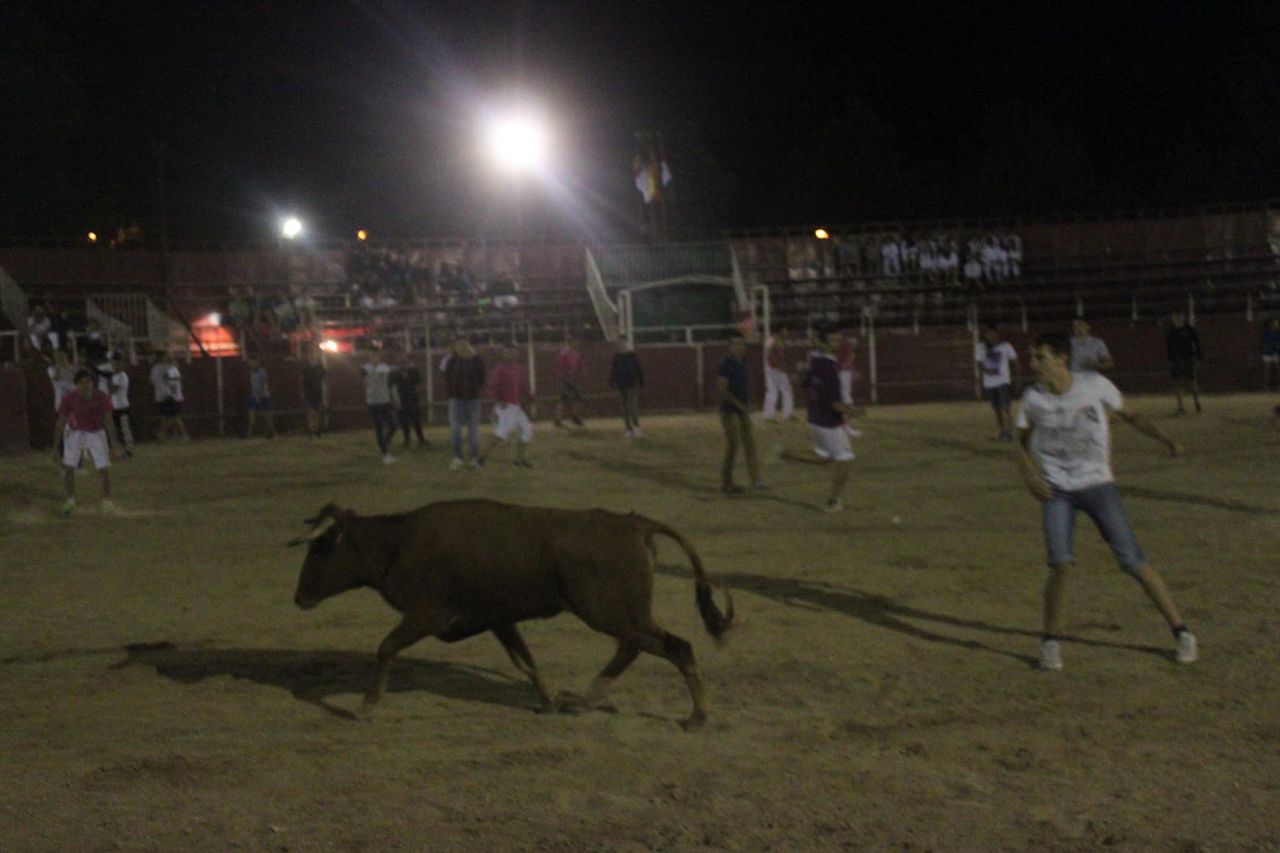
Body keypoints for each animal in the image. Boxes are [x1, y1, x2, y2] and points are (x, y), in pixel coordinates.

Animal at [287, 499, 734, 728]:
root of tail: (634, 525)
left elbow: (385, 647)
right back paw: (582, 702)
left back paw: (697, 715)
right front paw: (548, 700)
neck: (398, 543)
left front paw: (365, 705)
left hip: (610, 612)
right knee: (631, 649)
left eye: (320, 548)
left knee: (676, 647)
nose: (299, 597)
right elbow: (524, 660)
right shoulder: (499, 619)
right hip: (620, 615)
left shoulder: (426, 616)